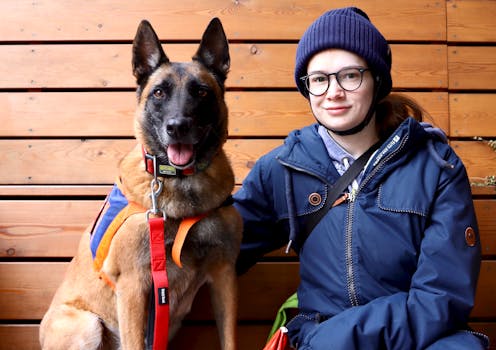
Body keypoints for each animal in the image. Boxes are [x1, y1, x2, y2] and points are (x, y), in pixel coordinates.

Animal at [40, 17, 244, 348]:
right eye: (159, 93)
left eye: (201, 92)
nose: (177, 127)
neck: (183, 186)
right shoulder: (134, 285)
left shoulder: (224, 275)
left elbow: (229, 339)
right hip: (87, 325)